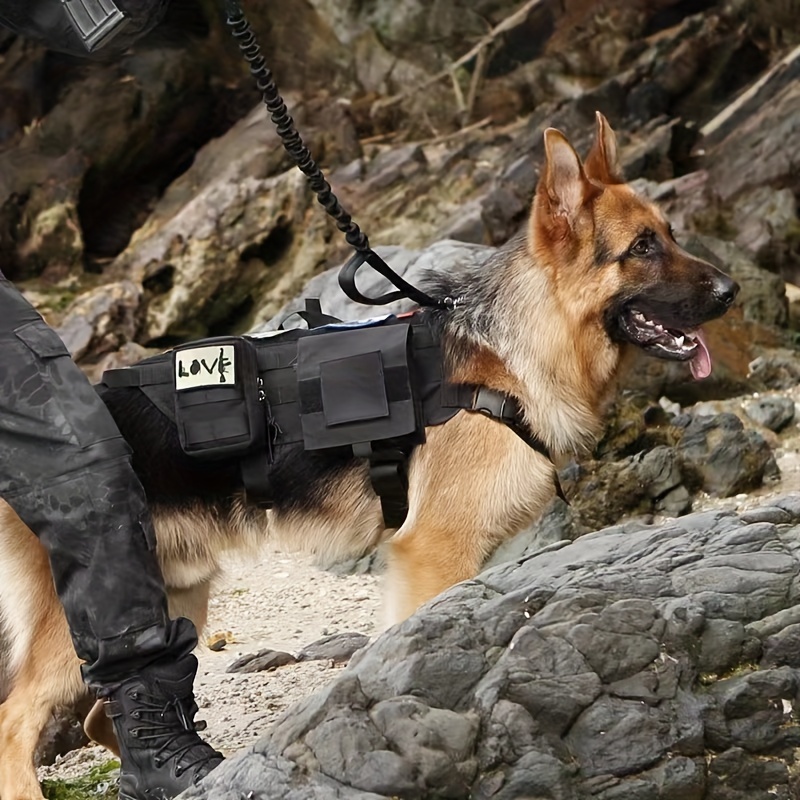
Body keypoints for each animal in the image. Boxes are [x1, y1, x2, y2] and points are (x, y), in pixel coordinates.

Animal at [0, 114, 736, 800]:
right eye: (641, 248)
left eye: (669, 234)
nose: (731, 291)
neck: (511, 353)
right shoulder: (433, 553)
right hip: (87, 618)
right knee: (16, 719)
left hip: (174, 598)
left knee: (103, 715)